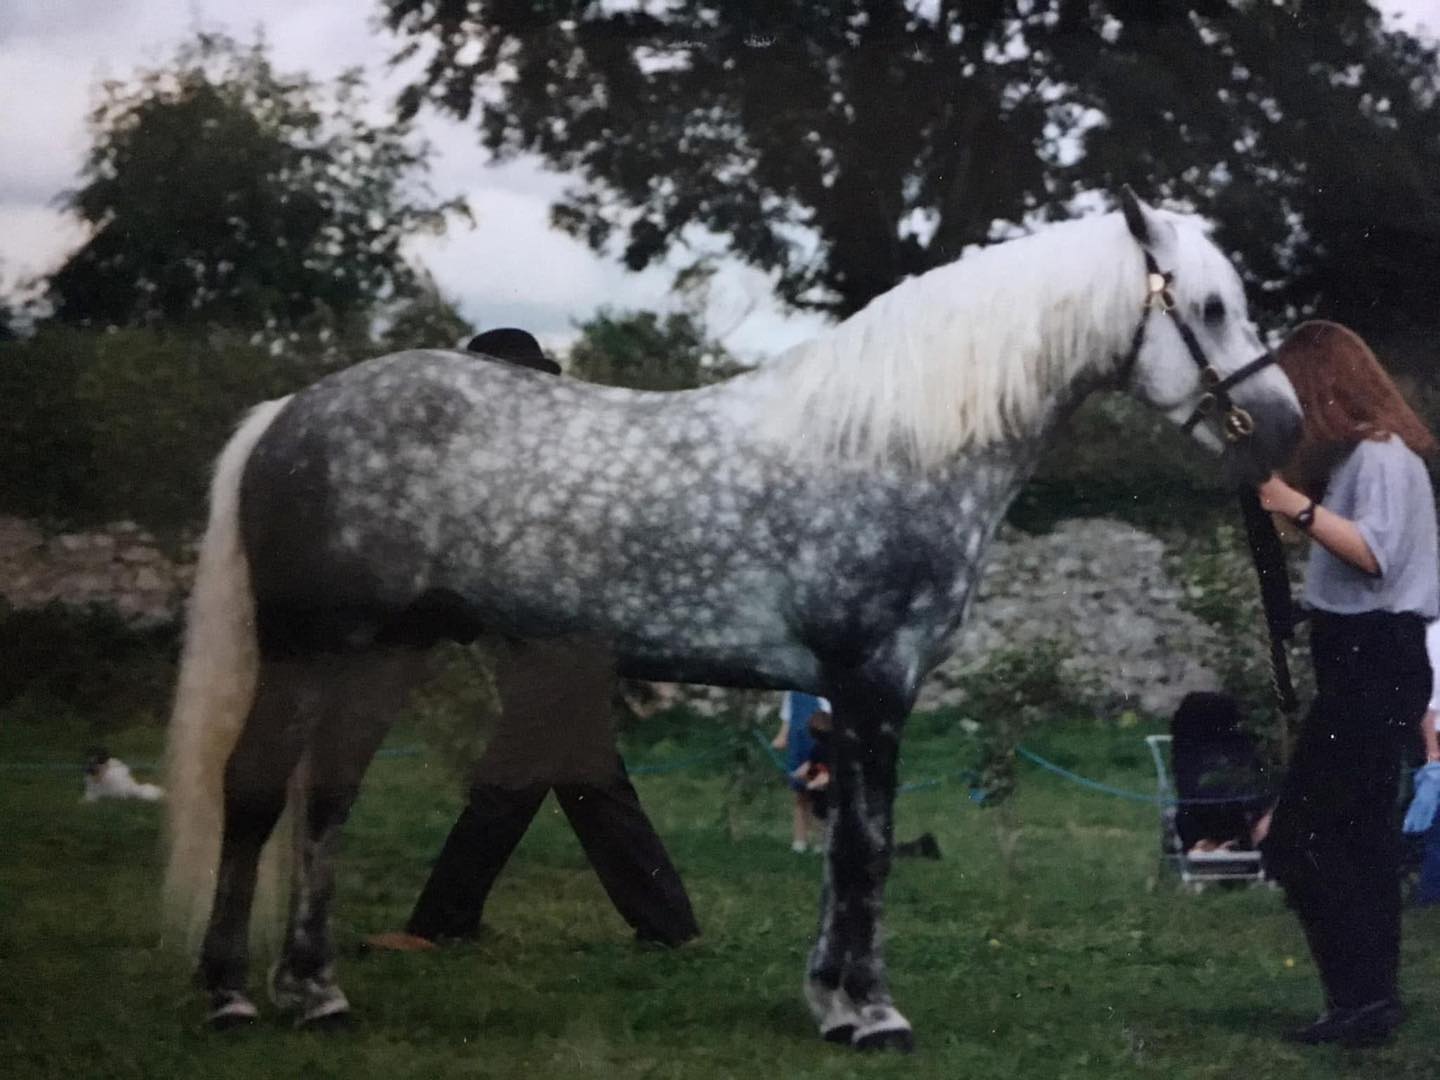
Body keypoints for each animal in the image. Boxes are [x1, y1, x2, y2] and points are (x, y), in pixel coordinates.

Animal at [162, 189, 1301, 1050]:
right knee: (254, 791)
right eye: (1210, 305)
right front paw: (874, 1014)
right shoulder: (875, 682)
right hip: (312, 650)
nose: (1282, 427)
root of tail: (291, 415)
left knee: (326, 801)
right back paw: (230, 995)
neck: (899, 444)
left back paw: (316, 993)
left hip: (381, 657)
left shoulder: (849, 697)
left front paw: (831, 1003)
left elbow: (844, 850)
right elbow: (867, 849)